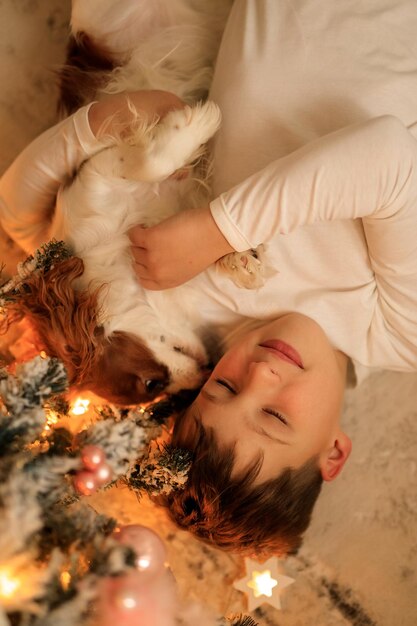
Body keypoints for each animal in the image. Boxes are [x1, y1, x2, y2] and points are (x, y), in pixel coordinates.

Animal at [13, 0, 264, 404]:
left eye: (151, 383)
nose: (200, 381)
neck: (115, 249)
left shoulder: (96, 172)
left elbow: (149, 162)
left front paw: (199, 121)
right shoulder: (179, 201)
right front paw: (241, 258)